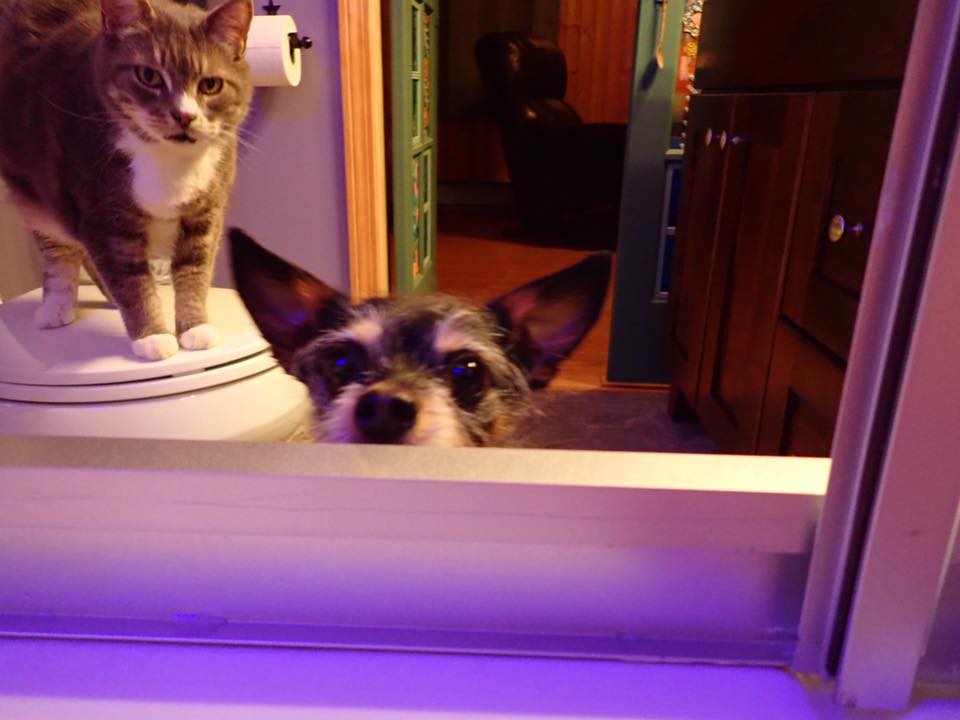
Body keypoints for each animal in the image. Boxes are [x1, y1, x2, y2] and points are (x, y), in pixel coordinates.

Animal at [0, 0, 253, 360]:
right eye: (148, 76)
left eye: (211, 85)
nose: (185, 116)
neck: (167, 160)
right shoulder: (103, 217)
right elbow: (130, 280)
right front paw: (153, 337)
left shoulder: (206, 210)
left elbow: (195, 268)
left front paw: (195, 329)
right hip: (32, 188)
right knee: (57, 247)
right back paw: (56, 308)